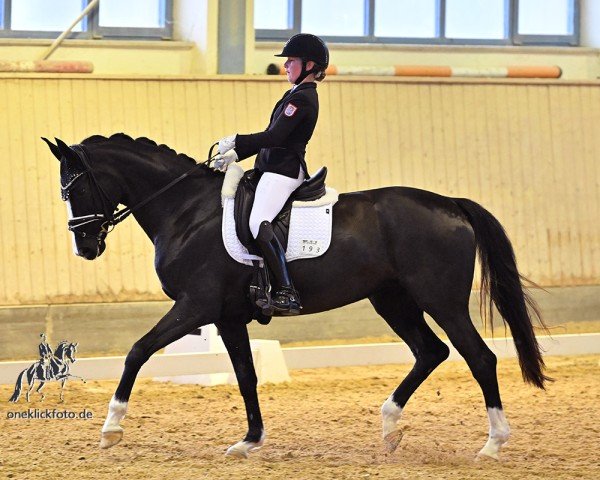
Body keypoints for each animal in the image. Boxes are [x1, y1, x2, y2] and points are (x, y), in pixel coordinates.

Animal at [41, 133, 548, 460]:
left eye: (75, 187)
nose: (85, 247)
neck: (186, 211)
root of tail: (451, 204)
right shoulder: (226, 316)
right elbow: (245, 375)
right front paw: (249, 440)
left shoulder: (195, 306)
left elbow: (137, 350)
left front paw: (111, 429)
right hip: (392, 299)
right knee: (430, 351)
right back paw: (389, 427)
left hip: (440, 299)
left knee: (478, 357)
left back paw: (492, 444)